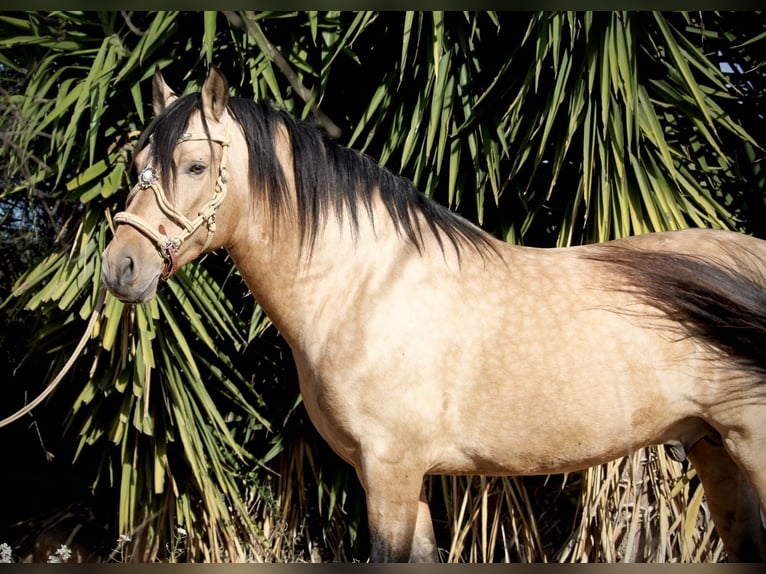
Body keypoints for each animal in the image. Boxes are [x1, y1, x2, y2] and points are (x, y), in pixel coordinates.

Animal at [102, 66, 766, 564]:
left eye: (193, 166)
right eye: (135, 164)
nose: (120, 267)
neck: (363, 289)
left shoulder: (390, 473)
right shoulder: (402, 479)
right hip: (712, 449)